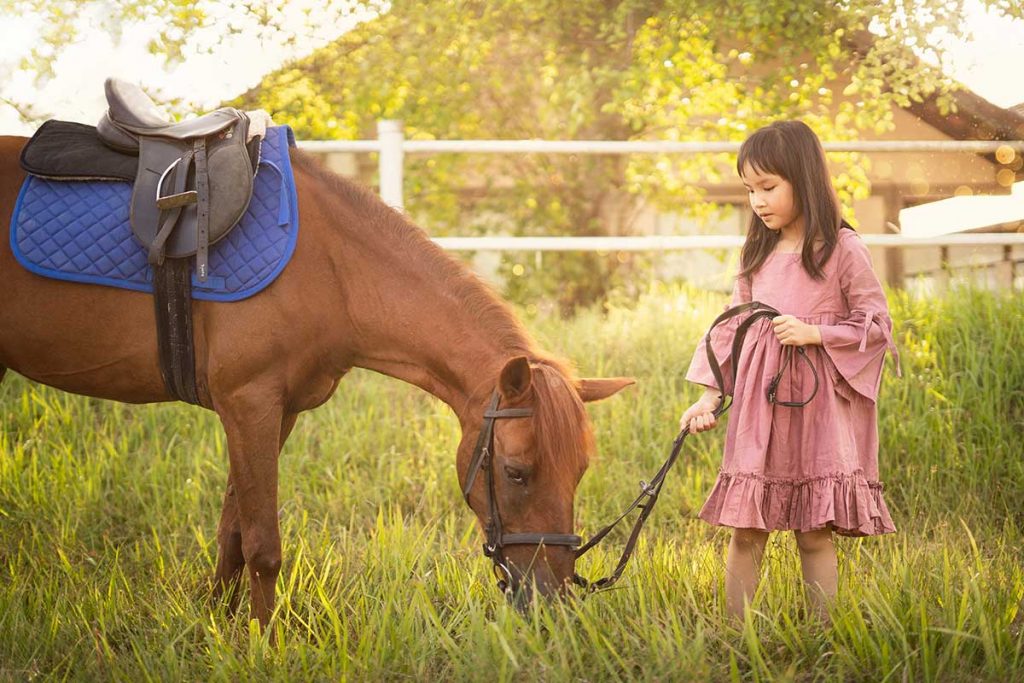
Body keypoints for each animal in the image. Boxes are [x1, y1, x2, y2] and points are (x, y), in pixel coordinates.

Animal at [0, 135, 630, 630]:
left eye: (580, 471)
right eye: (517, 472)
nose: (553, 602)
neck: (329, 267)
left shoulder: (275, 412)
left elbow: (233, 528)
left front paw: (219, 626)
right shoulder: (249, 402)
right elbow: (262, 545)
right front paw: (262, 645)